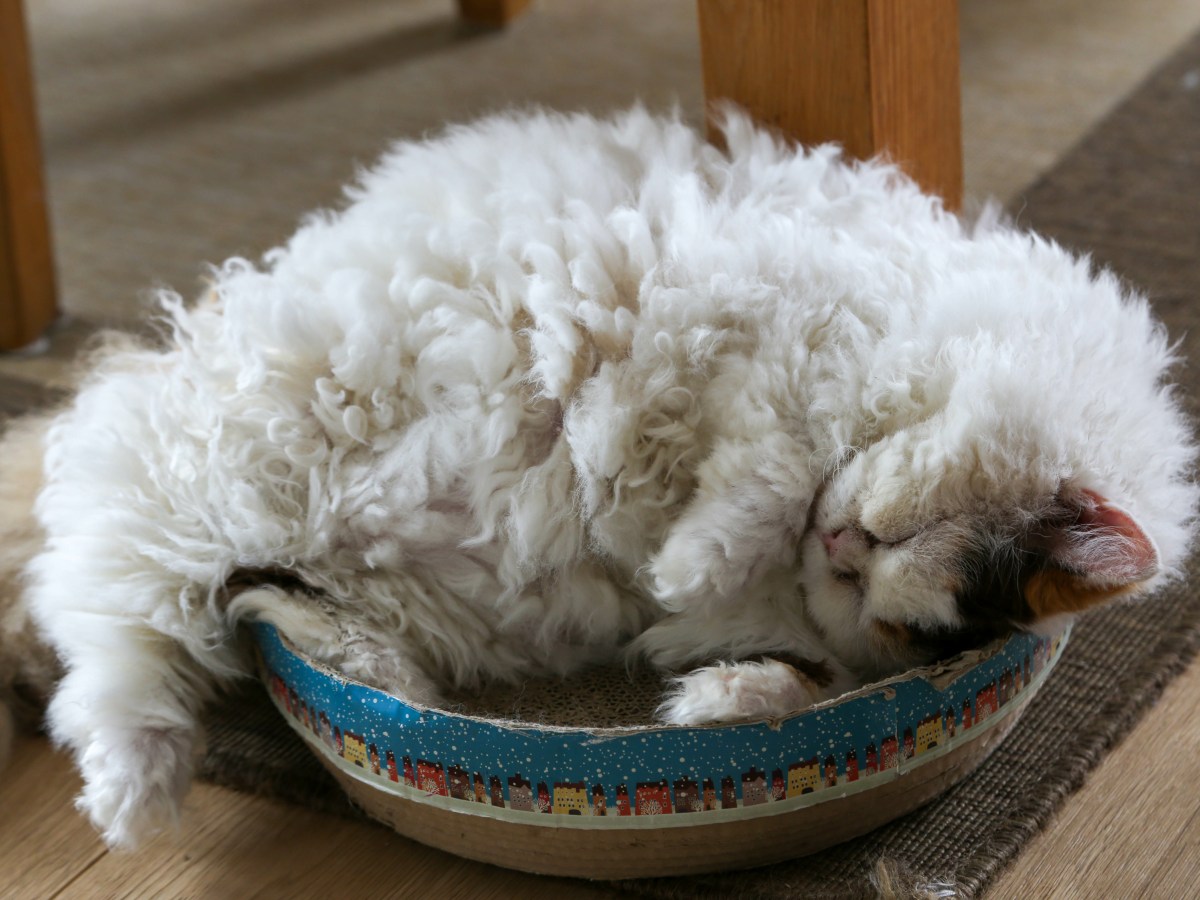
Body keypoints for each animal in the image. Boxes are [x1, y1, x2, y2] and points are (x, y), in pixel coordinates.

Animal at [0, 107, 1190, 854]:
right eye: (910, 537)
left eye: (905, 620)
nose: (847, 551)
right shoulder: (781, 328)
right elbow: (768, 467)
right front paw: (691, 561)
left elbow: (798, 681)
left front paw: (712, 693)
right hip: (193, 480)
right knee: (110, 627)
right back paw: (135, 794)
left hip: (345, 576)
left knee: (236, 617)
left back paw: (342, 671)